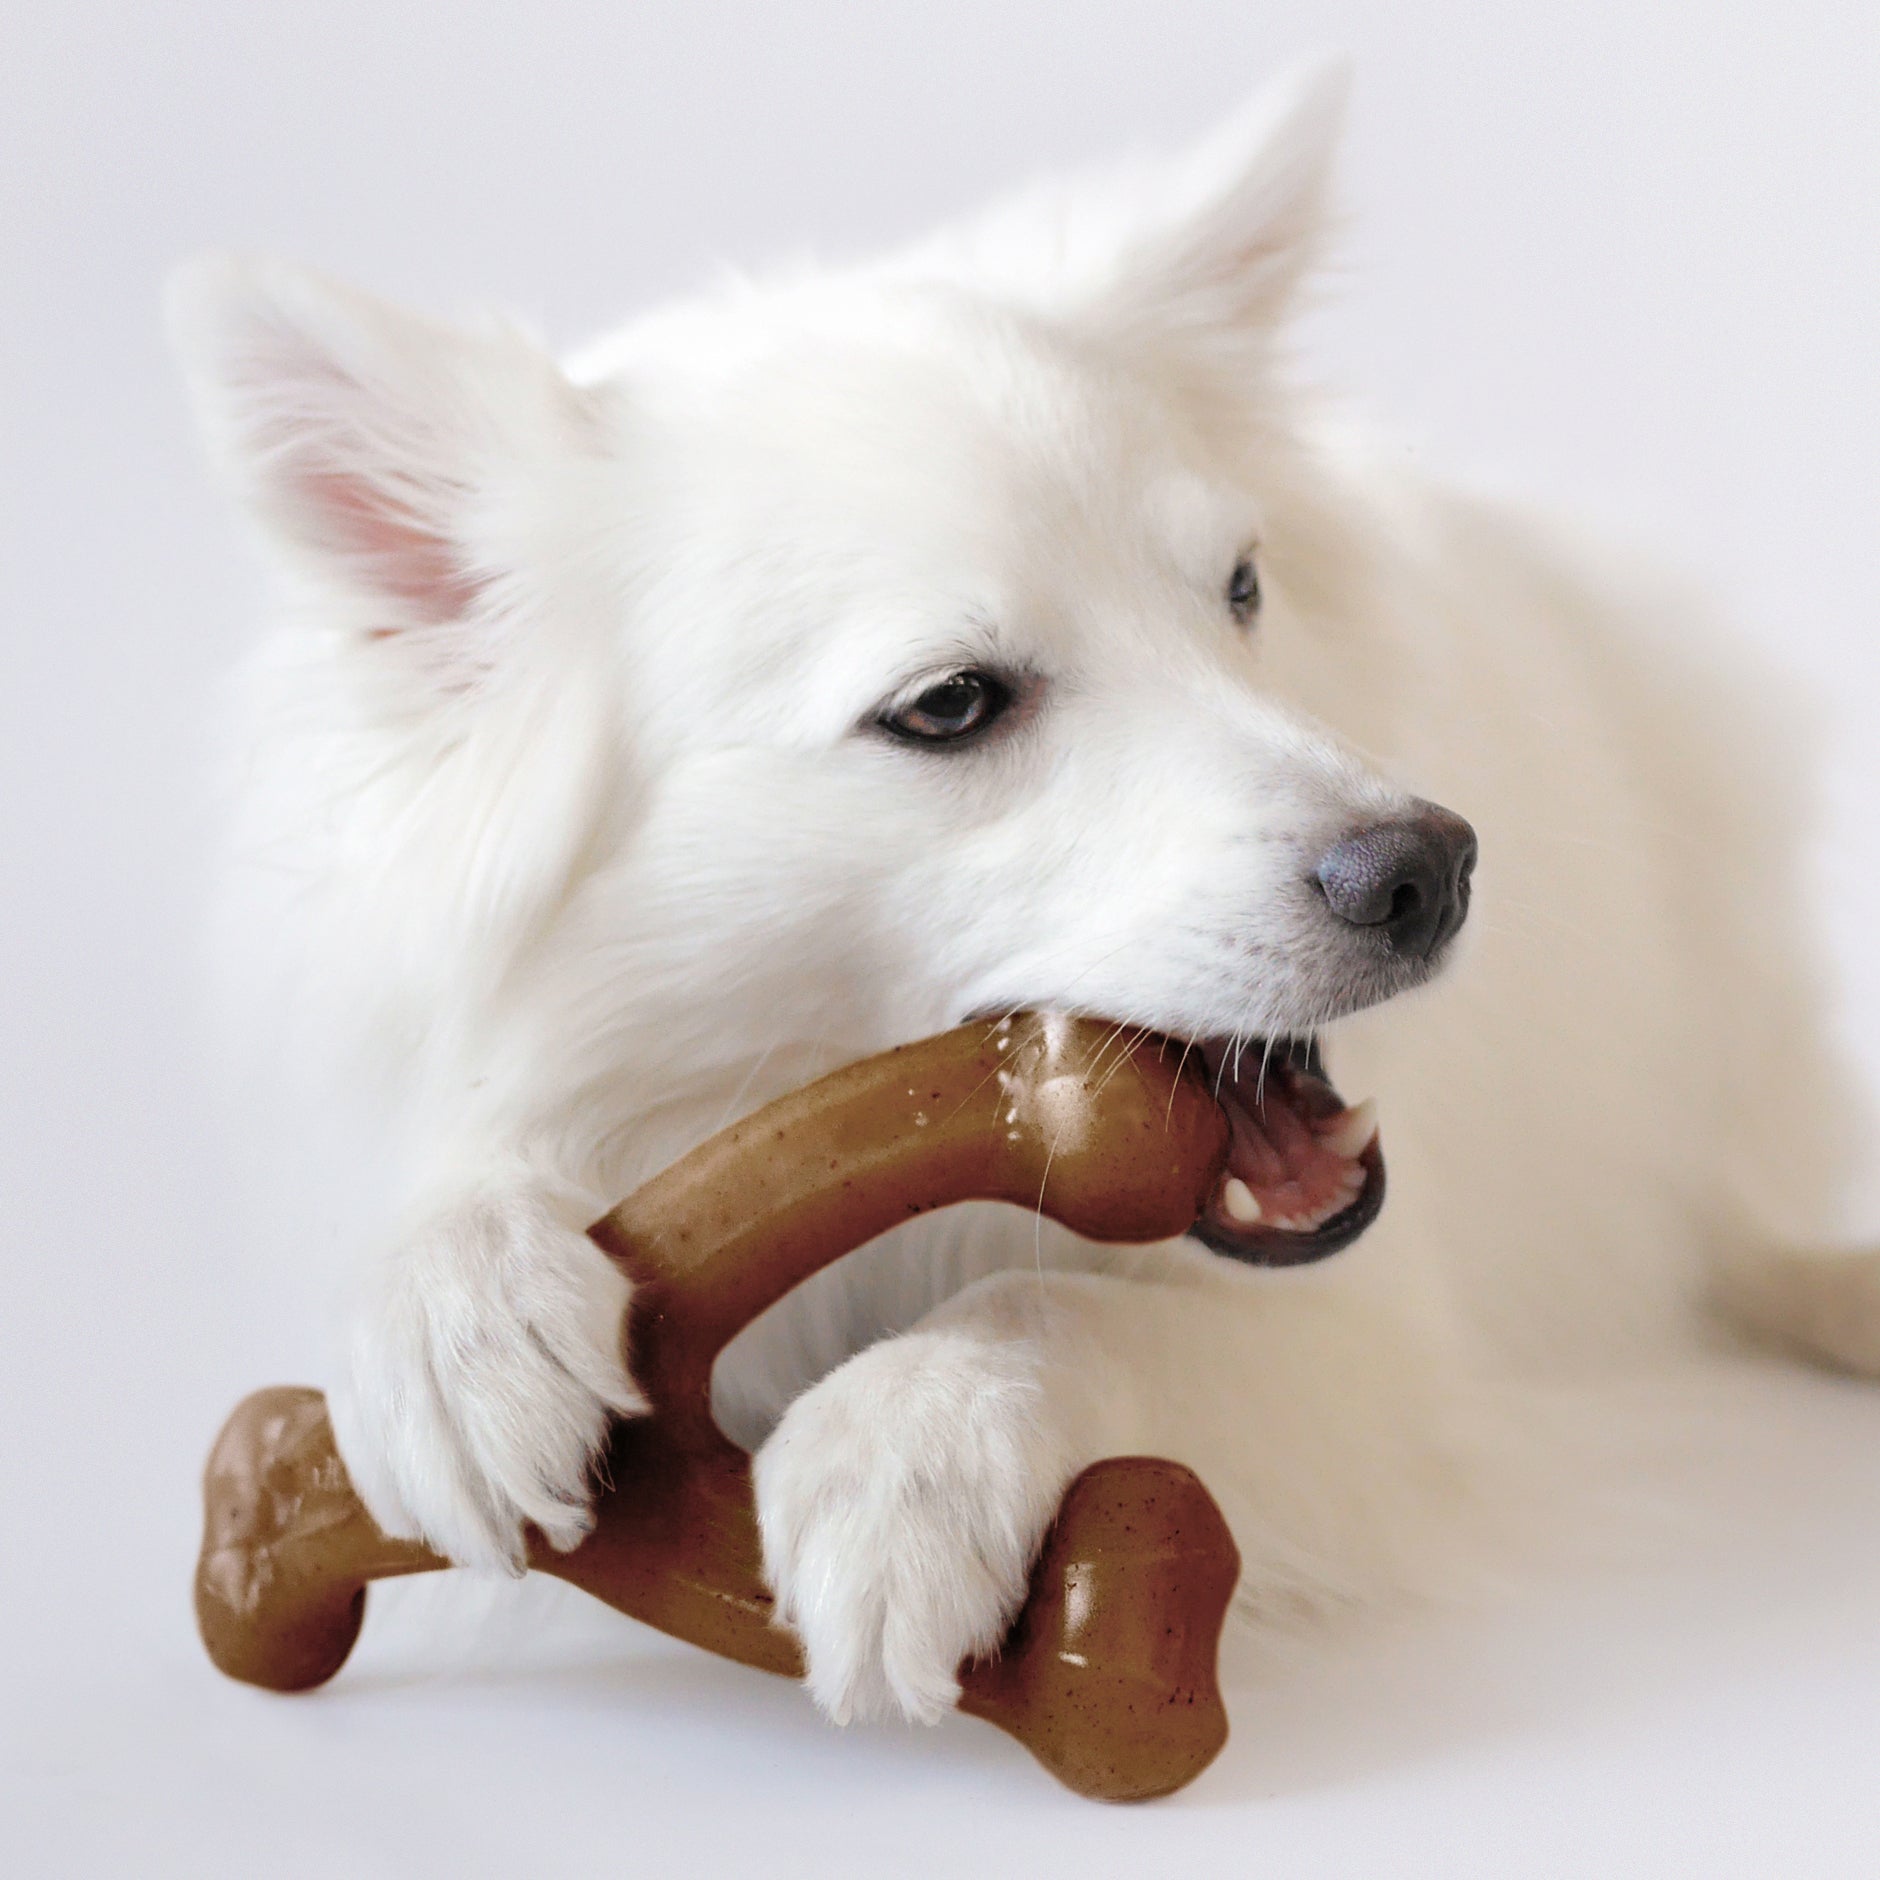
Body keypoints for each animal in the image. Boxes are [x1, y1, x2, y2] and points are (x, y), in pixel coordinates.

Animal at [169, 66, 1872, 1722]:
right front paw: (452, 1300)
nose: (1429, 870)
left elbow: (1063, 1307)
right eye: (948, 705)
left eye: (1241, 590)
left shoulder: (1377, 1352)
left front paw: (916, 1432)